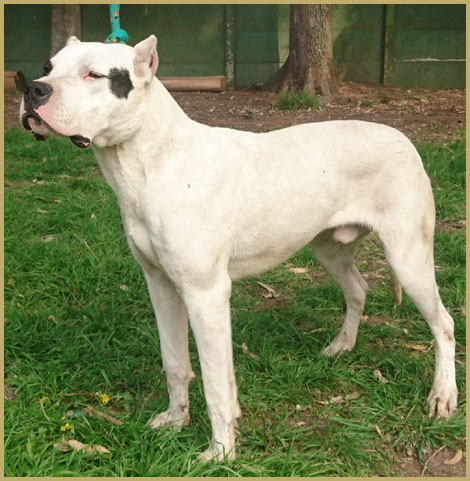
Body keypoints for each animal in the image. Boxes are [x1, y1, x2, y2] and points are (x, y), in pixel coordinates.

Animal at [20, 35, 458, 460]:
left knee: (444, 324)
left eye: (93, 74)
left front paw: (220, 451)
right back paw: (342, 345)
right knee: (358, 289)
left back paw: (443, 395)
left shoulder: (206, 295)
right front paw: (175, 421)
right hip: (329, 251)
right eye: (48, 67)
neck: (153, 161)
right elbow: (174, 361)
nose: (32, 88)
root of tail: (403, 138)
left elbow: (215, 382)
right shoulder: (161, 286)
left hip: (408, 259)